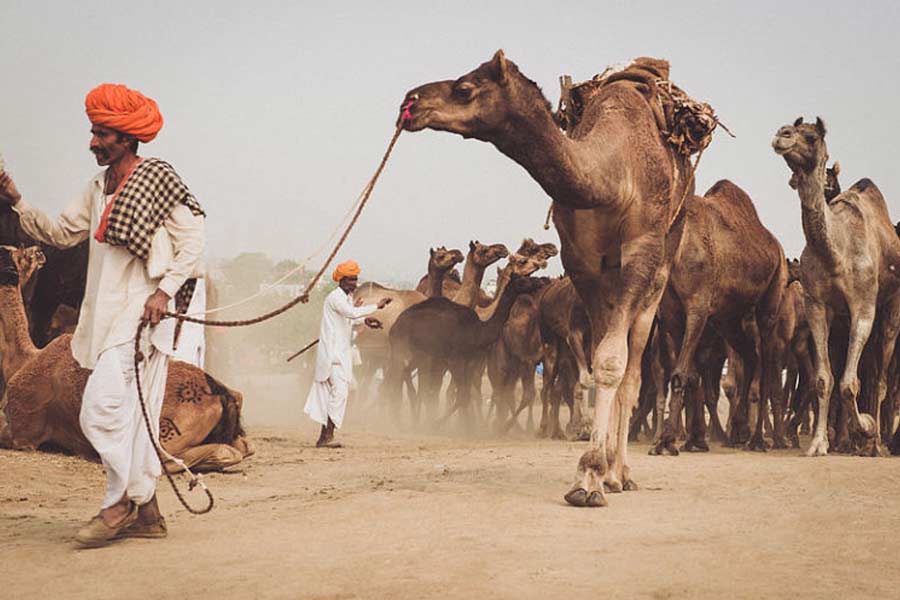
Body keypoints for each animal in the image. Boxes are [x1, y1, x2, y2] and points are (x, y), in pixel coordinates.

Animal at [0, 246, 253, 472]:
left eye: (17, 254)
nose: (38, 251)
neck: (24, 360)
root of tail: (223, 395)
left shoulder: (23, 432)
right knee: (242, 448)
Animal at [402, 52, 705, 506]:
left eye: (464, 88)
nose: (410, 101)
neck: (611, 176)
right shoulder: (581, 264)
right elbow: (596, 362)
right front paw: (593, 473)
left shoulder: (642, 250)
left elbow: (612, 364)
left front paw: (589, 477)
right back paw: (614, 473)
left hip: (664, 259)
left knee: (635, 369)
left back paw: (622, 472)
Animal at [651, 180, 787, 455]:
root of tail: (775, 245)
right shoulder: (671, 315)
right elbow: (691, 376)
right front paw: (695, 440)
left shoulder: (698, 307)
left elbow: (680, 373)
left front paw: (666, 441)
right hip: (728, 319)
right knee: (750, 355)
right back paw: (739, 431)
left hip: (771, 298)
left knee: (766, 366)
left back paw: (757, 439)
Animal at [773, 117, 900, 456]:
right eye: (790, 128)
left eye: (811, 137)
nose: (781, 135)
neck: (837, 253)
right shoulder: (817, 305)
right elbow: (823, 379)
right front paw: (819, 443)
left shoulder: (864, 307)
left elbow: (849, 383)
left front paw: (865, 428)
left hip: (891, 312)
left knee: (880, 379)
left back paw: (876, 443)